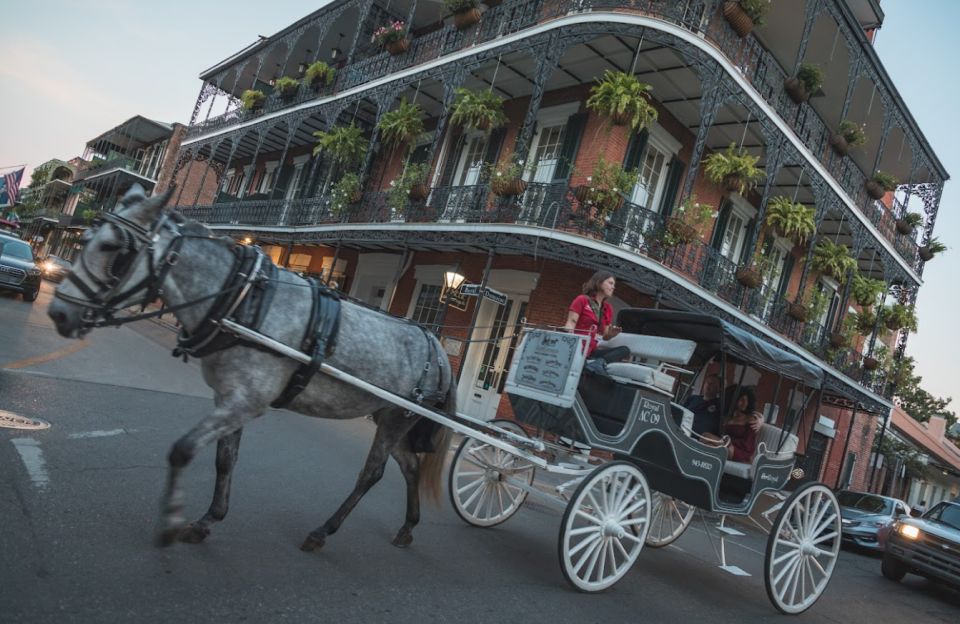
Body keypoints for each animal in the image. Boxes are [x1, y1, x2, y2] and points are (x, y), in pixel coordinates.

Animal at [49, 185, 458, 552]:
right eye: (85, 240)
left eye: (112, 248)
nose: (58, 312)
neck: (242, 299)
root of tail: (436, 345)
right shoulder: (230, 400)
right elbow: (224, 460)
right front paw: (207, 520)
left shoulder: (247, 402)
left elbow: (183, 449)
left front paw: (171, 520)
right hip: (389, 415)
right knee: (409, 465)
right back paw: (407, 527)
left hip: (396, 418)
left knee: (372, 472)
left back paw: (323, 531)